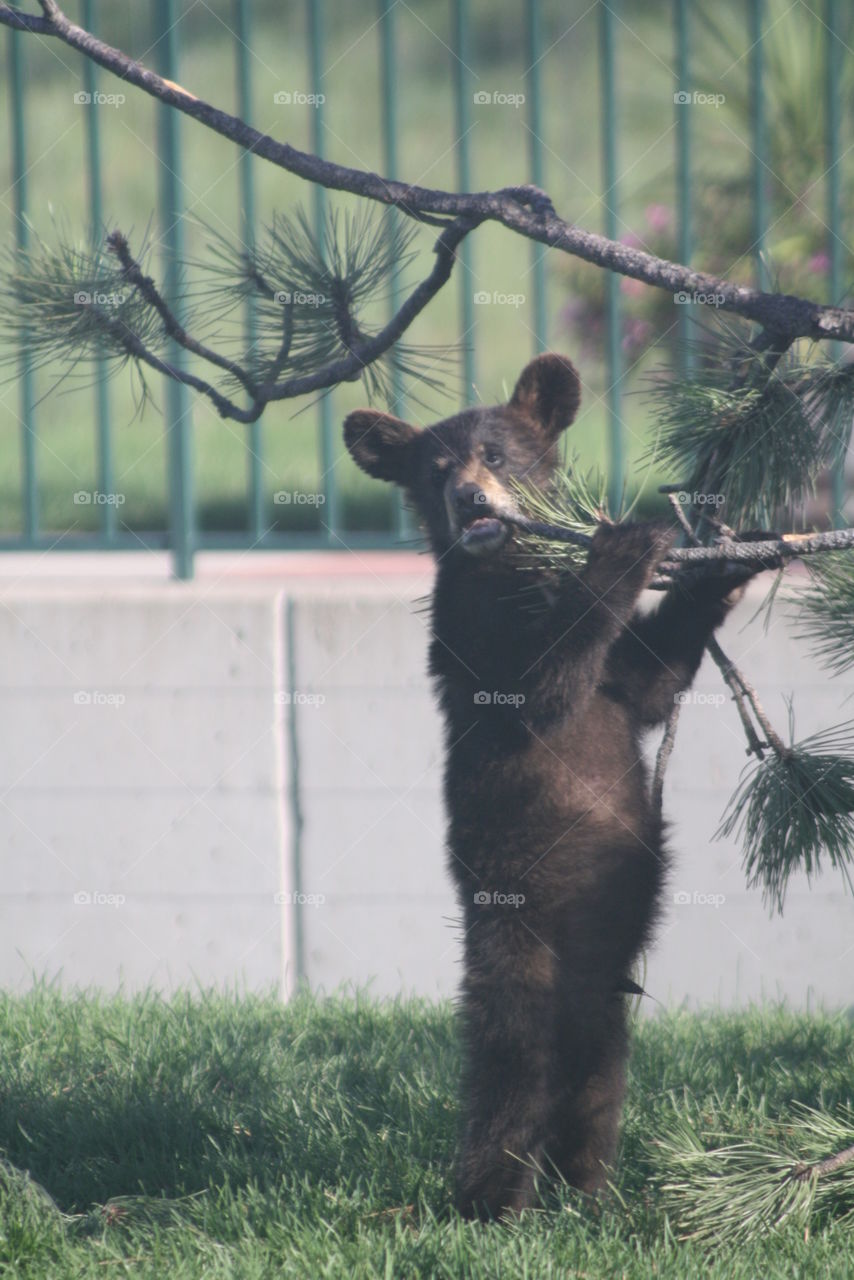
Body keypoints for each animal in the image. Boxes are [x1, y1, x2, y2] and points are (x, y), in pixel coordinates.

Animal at [343, 353, 755, 1219]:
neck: (512, 571)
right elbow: (541, 687)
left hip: (608, 960)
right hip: (512, 926)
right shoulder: (471, 630)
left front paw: (733, 560)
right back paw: (492, 1200)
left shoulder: (616, 686)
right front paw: (626, 546)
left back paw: (588, 1190)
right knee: (511, 1057)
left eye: (497, 454)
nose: (470, 499)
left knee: (597, 1068)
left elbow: (644, 682)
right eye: (436, 470)